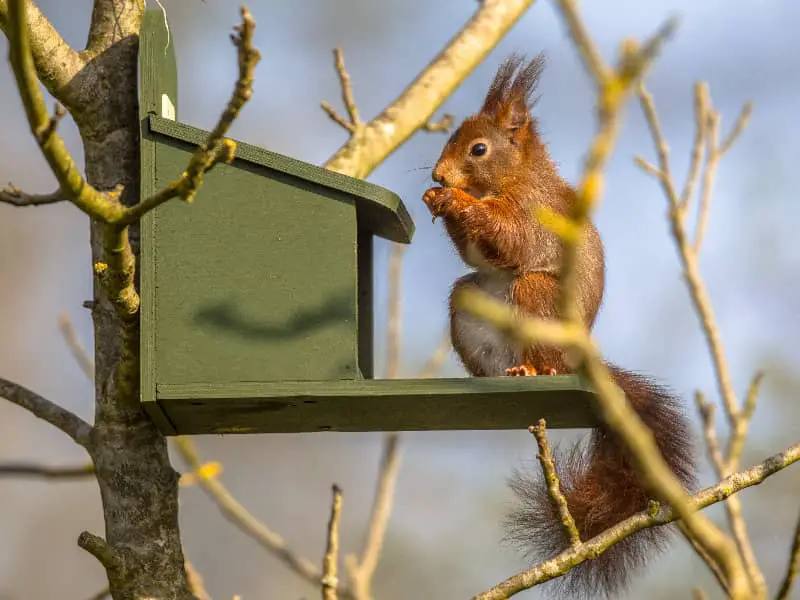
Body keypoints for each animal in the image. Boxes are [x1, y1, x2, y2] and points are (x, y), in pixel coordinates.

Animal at [422, 54, 696, 596]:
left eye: (479, 148)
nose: (441, 174)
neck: (513, 178)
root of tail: (578, 359)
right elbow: (476, 252)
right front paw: (434, 197)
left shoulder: (534, 214)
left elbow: (510, 237)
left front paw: (457, 202)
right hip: (468, 303)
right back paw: (495, 376)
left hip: (538, 298)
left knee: (539, 340)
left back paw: (535, 371)